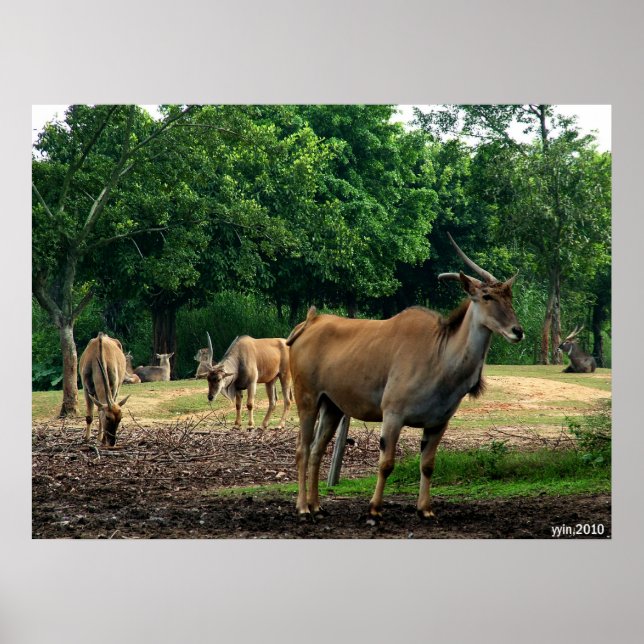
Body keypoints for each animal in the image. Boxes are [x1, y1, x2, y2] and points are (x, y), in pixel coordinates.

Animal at [287, 233, 524, 520]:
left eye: (509, 296)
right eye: (487, 296)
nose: (518, 331)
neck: (439, 354)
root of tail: (310, 322)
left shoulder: (438, 424)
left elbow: (428, 465)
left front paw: (425, 509)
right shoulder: (393, 415)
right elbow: (386, 463)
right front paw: (375, 509)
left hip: (332, 406)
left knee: (317, 451)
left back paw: (317, 505)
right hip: (307, 400)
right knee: (302, 450)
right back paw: (302, 507)